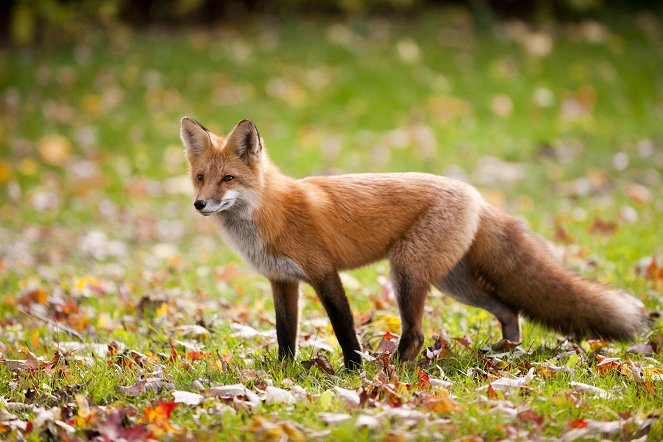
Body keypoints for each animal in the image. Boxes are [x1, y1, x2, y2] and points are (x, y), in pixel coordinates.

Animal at [182, 115, 648, 368]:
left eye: (228, 179)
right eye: (200, 177)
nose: (200, 204)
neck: (268, 213)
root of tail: (474, 193)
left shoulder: (324, 273)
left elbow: (344, 329)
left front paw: (353, 373)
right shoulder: (282, 281)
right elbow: (285, 334)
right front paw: (283, 372)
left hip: (406, 273)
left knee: (418, 334)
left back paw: (395, 373)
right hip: (451, 283)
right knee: (508, 308)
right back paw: (503, 350)